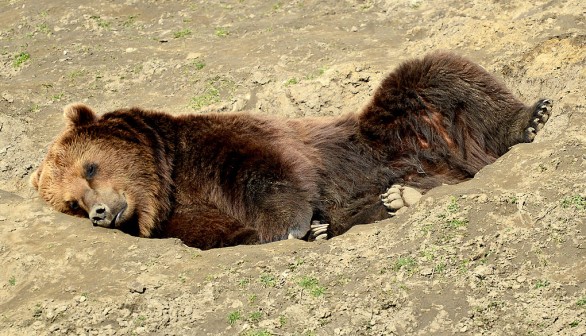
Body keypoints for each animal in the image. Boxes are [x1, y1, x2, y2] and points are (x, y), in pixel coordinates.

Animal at [34, 51, 548, 249]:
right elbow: (223, 232)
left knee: (436, 75)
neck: (167, 180)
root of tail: (458, 164)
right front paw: (311, 230)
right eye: (71, 202)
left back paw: (530, 118)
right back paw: (402, 197)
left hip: (397, 130)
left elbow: (262, 170)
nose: (100, 212)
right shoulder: (185, 219)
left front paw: (294, 225)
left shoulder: (211, 143)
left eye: (90, 167)